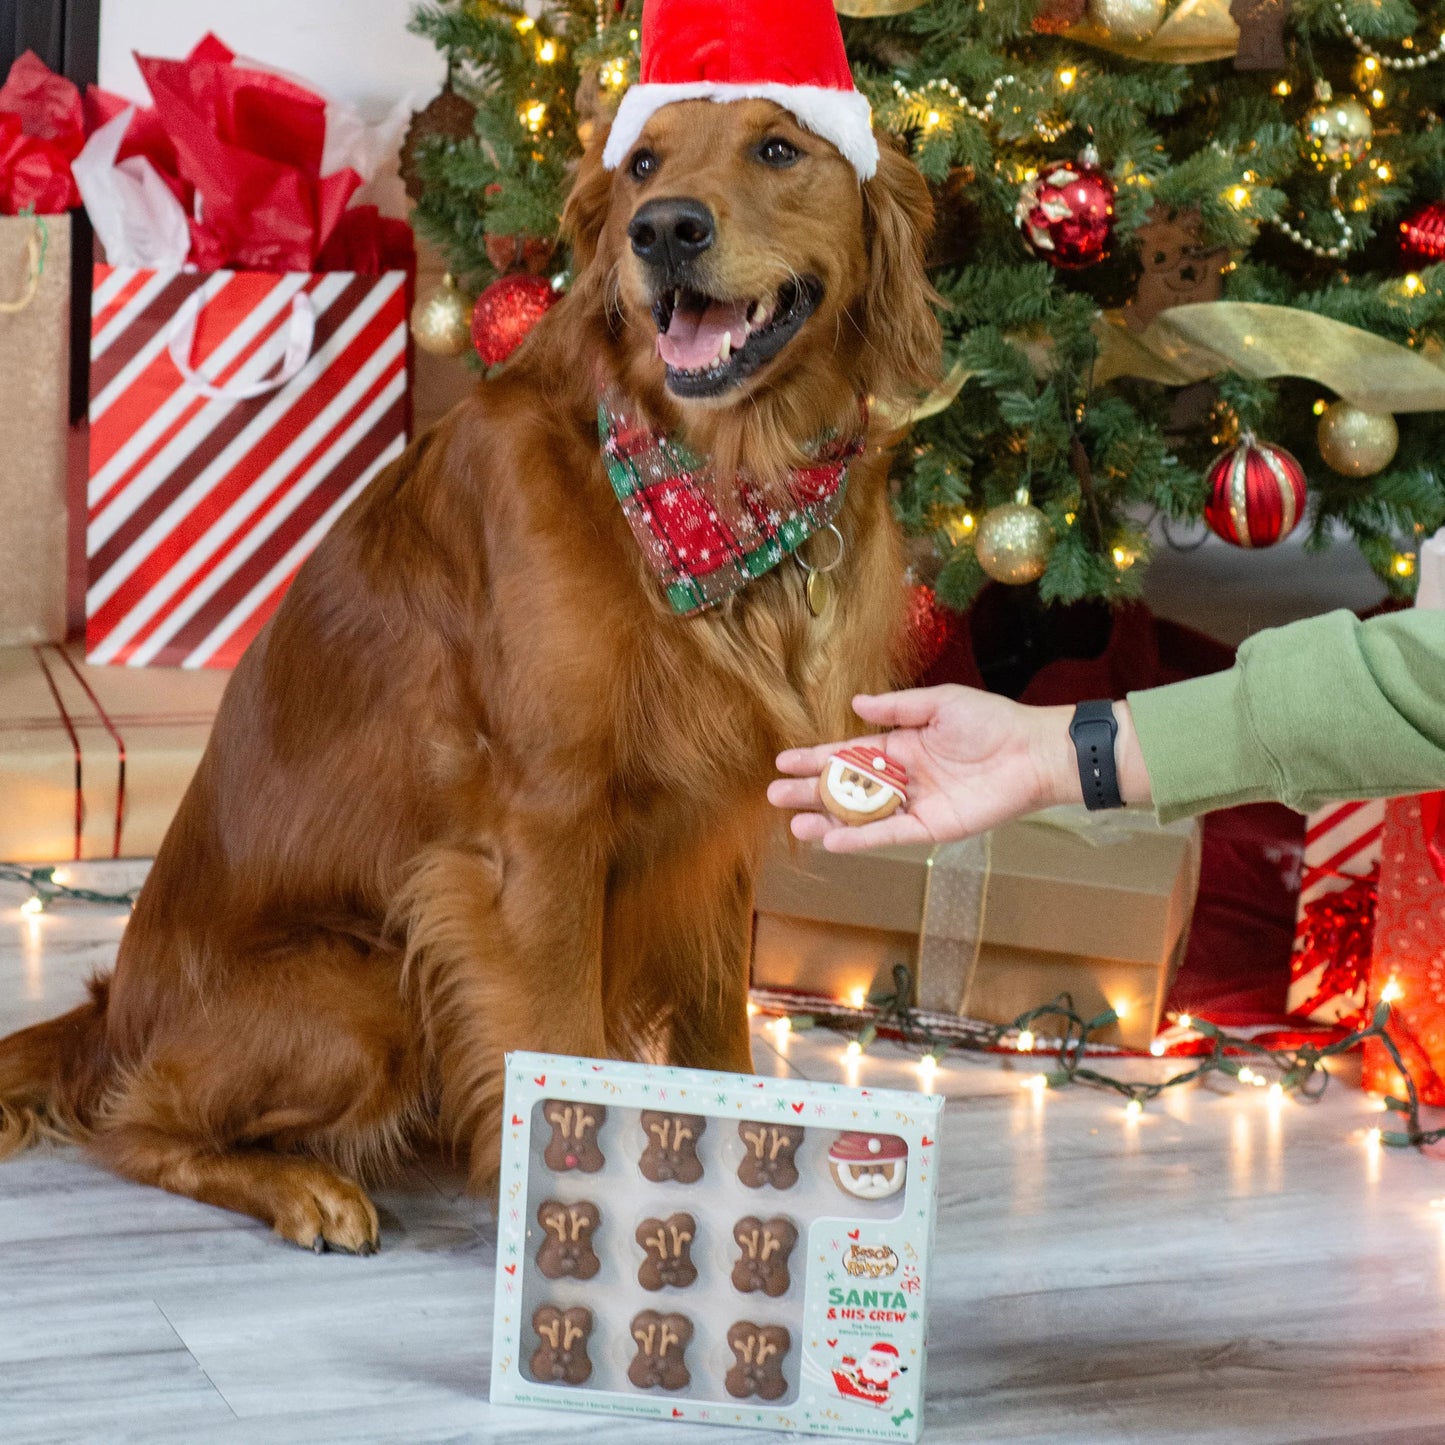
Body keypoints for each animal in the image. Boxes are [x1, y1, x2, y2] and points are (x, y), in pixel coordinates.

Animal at [0, 101, 936, 1254]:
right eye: (640, 164)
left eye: (776, 148)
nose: (663, 231)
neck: (719, 489)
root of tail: (107, 1008)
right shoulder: (544, 832)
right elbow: (563, 1038)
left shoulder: (713, 832)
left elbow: (719, 1033)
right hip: (365, 981)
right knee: (139, 1122)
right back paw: (303, 1185)